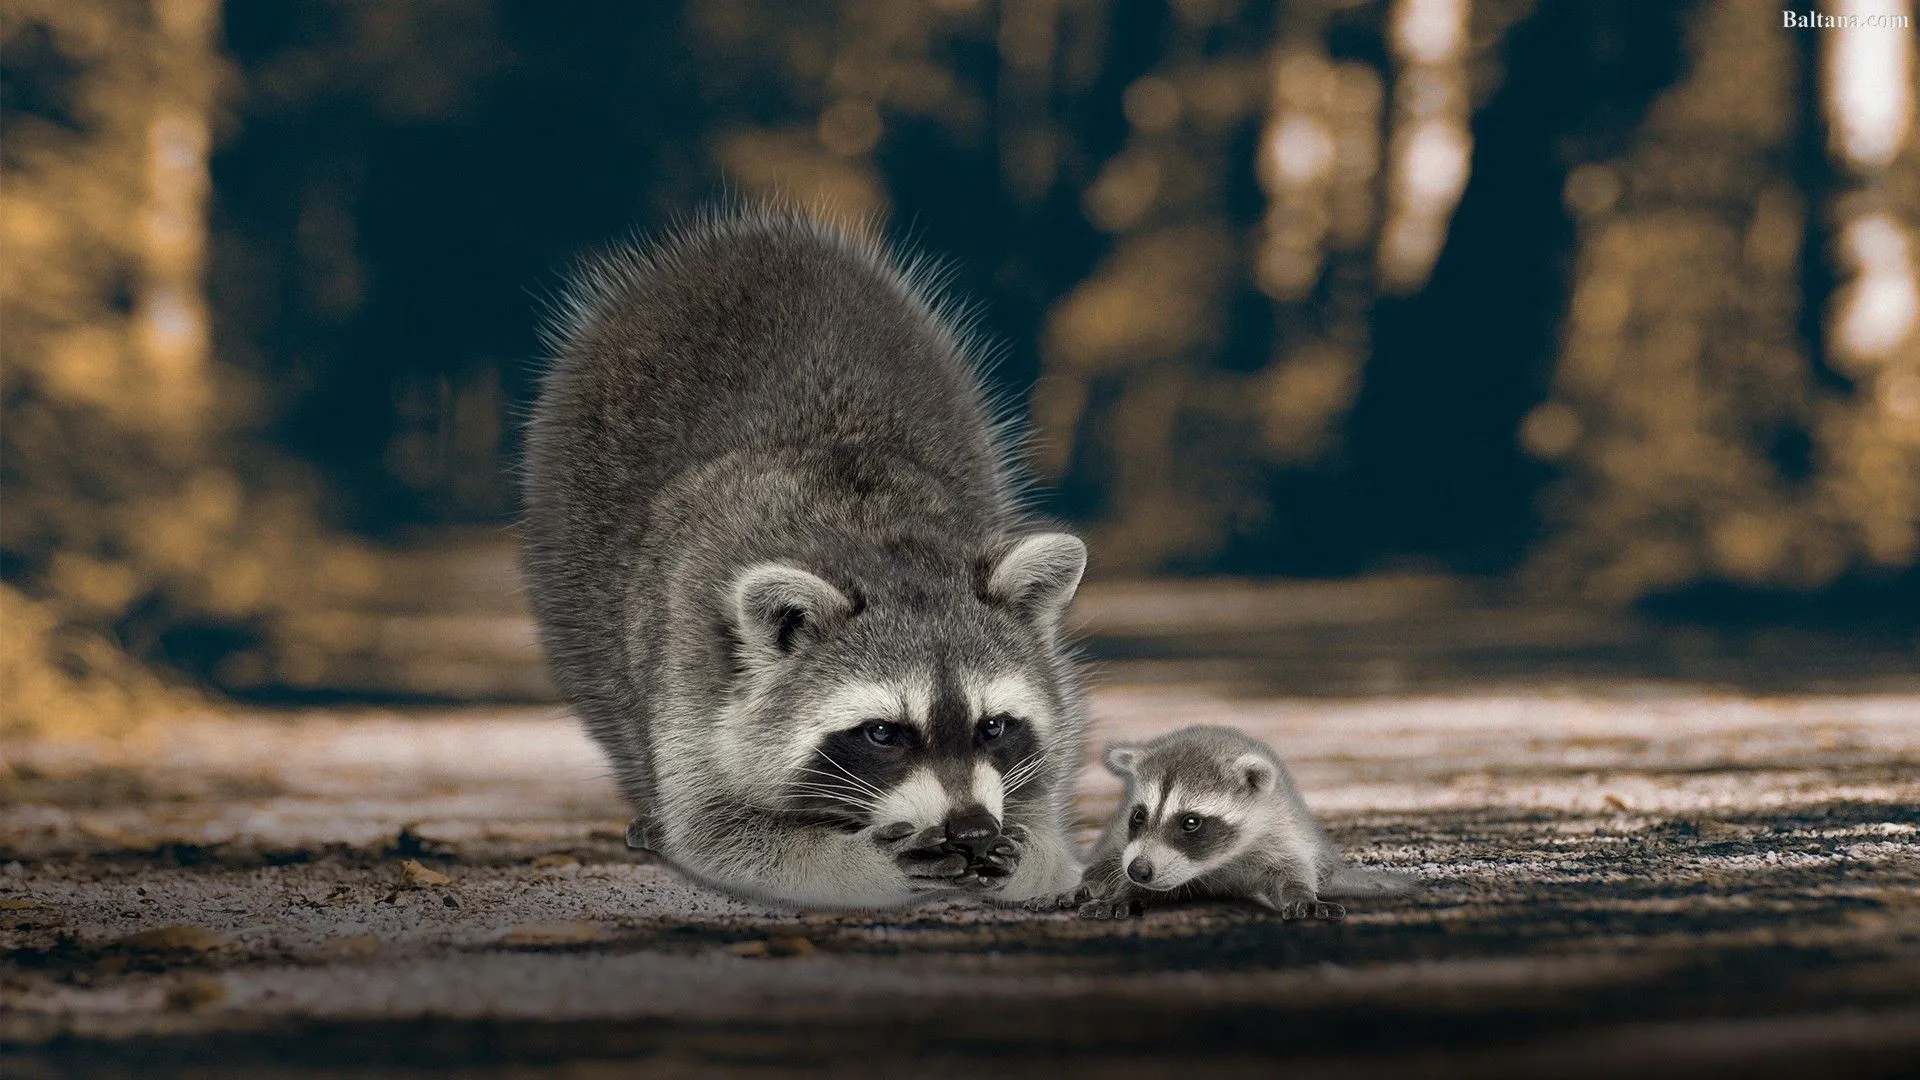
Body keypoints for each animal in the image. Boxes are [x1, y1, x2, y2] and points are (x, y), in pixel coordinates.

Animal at [520, 207, 1087, 909]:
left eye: (993, 727)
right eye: (882, 733)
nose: (972, 830)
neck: (874, 541)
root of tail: (751, 237)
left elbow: (1044, 808)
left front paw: (1032, 853)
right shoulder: (696, 664)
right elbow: (715, 828)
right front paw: (864, 863)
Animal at [1033, 726, 1417, 919]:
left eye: (1190, 822)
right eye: (1139, 815)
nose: (1138, 870)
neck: (1212, 865)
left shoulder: (1278, 834)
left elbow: (1291, 872)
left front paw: (1300, 894)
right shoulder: (1125, 841)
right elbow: (1115, 869)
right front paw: (1120, 890)